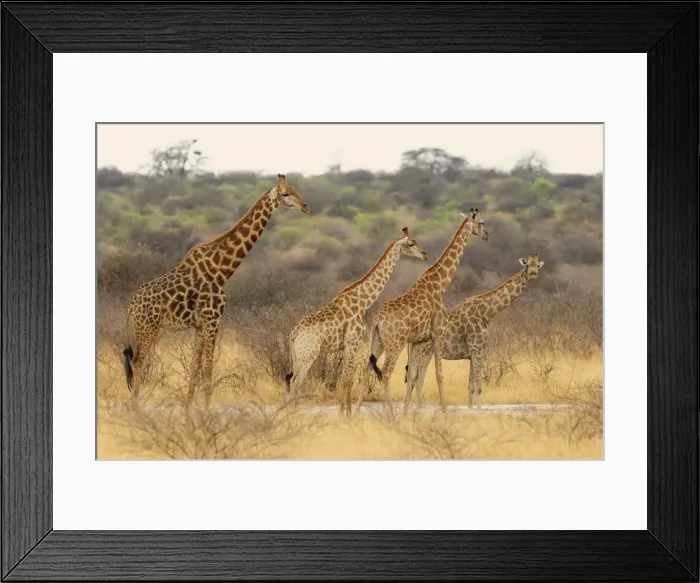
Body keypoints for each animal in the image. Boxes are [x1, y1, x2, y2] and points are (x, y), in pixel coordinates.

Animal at [122, 174, 309, 409]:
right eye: (285, 193)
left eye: (295, 189)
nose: (305, 206)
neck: (222, 270)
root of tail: (130, 306)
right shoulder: (213, 321)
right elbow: (208, 368)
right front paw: (206, 408)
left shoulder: (200, 326)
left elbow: (195, 367)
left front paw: (189, 406)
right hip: (148, 328)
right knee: (137, 362)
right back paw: (135, 406)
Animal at [285, 227, 428, 417]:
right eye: (411, 243)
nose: (424, 254)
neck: (363, 302)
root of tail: (293, 334)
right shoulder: (353, 343)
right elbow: (346, 379)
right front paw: (343, 415)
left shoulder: (349, 346)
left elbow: (348, 379)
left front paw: (347, 413)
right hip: (308, 355)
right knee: (296, 381)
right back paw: (294, 413)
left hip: (296, 356)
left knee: (291, 379)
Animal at [356, 209, 489, 417]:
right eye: (482, 222)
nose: (486, 235)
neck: (440, 284)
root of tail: (377, 320)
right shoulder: (438, 333)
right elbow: (438, 374)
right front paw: (444, 412)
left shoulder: (418, 340)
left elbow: (412, 375)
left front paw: (406, 412)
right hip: (395, 344)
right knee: (386, 372)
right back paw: (390, 415)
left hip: (376, 342)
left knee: (367, 370)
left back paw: (354, 414)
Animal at [403, 253, 544, 411]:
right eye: (527, 265)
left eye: (537, 266)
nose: (533, 274)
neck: (486, 314)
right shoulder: (478, 350)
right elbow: (479, 387)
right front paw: (479, 410)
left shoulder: (472, 354)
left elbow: (470, 386)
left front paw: (471, 408)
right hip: (425, 352)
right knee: (419, 378)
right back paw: (420, 408)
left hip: (418, 352)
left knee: (413, 377)